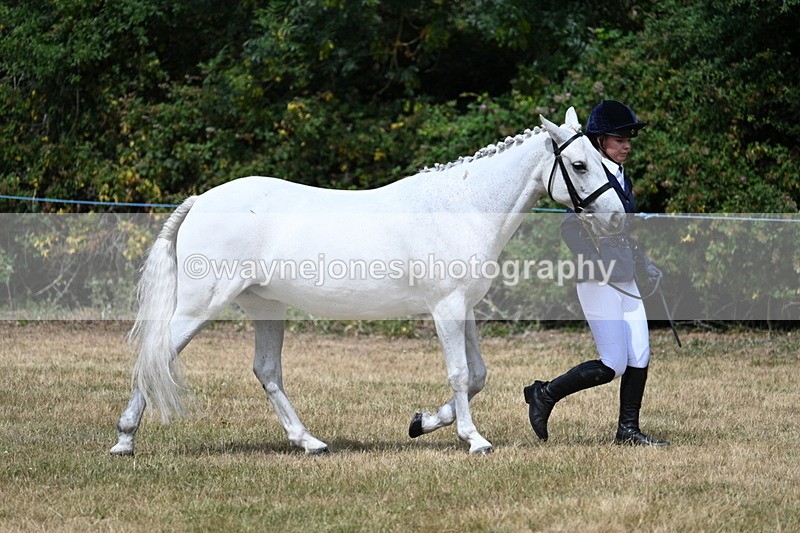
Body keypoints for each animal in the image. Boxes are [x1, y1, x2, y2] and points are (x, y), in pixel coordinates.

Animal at [110, 107, 624, 456]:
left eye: (601, 160)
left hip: (265, 307)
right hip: (200, 306)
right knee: (157, 354)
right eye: (579, 165)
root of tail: (201, 200)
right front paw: (474, 439)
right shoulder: (446, 308)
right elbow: (460, 374)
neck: (461, 207)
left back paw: (310, 442)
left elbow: (477, 375)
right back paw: (124, 441)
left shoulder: (464, 308)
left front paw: (423, 422)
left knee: (267, 371)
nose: (617, 219)